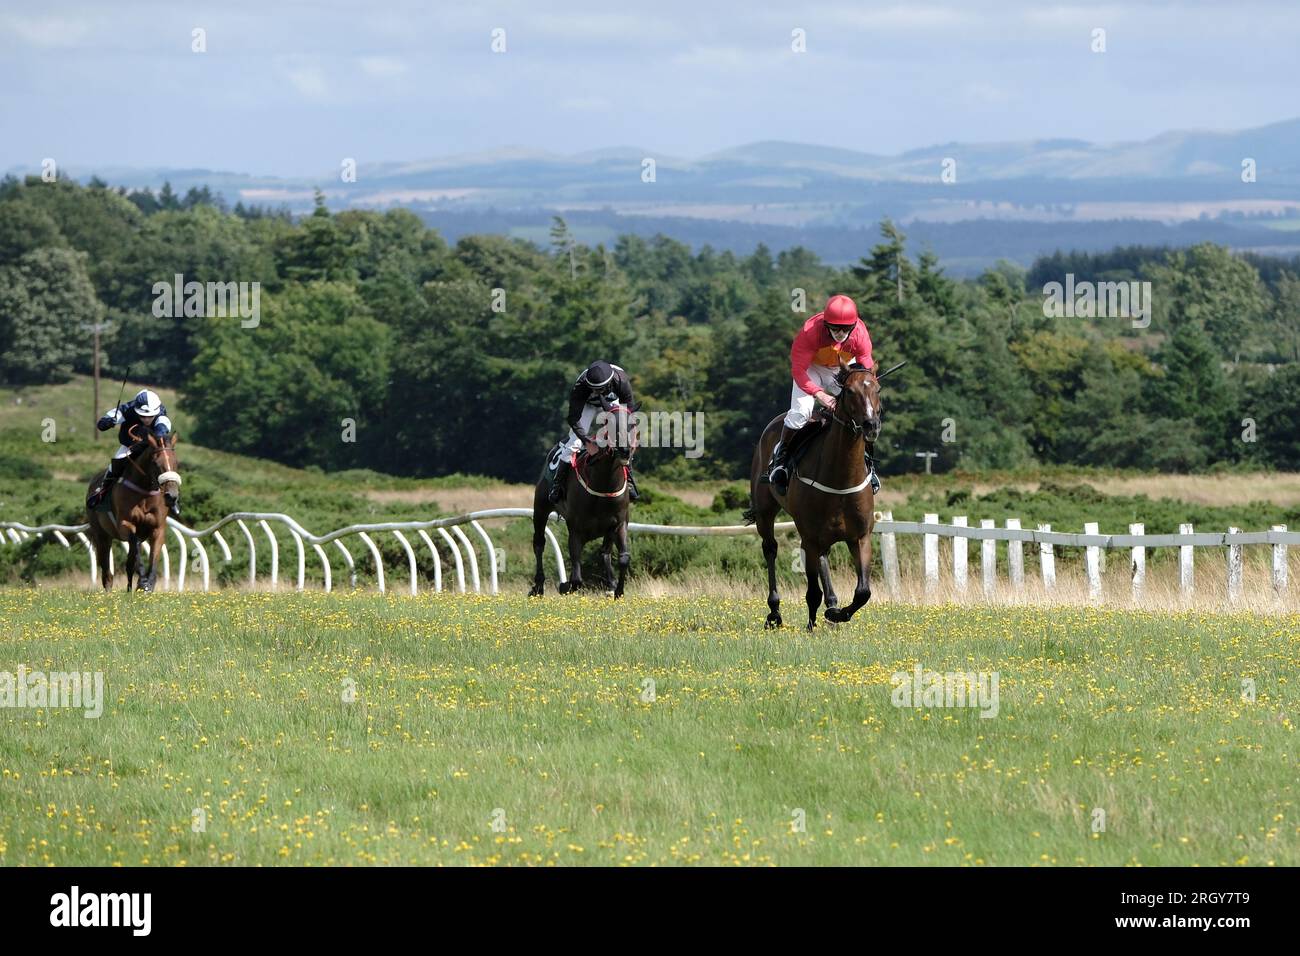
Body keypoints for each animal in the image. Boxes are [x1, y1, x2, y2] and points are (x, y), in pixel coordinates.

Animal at [86, 431, 183, 590]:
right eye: (156, 463)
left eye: (176, 462)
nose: (171, 496)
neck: (144, 494)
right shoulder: (126, 524)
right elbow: (136, 548)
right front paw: (143, 581)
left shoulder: (157, 528)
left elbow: (153, 557)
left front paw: (148, 583)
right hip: (102, 535)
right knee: (107, 570)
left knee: (129, 564)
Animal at [530, 403, 637, 598]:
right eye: (609, 424)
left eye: (633, 424)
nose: (625, 450)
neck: (604, 483)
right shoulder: (576, 528)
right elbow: (577, 572)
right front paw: (567, 586)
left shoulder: (619, 523)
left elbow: (624, 557)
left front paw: (618, 590)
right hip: (541, 509)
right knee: (539, 543)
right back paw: (538, 586)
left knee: (604, 552)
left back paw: (611, 583)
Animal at [754, 356, 883, 632]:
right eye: (850, 391)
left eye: (877, 389)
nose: (871, 425)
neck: (840, 479)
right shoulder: (809, 536)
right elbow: (813, 591)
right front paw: (813, 623)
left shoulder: (860, 536)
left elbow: (863, 592)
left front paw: (837, 614)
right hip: (765, 510)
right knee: (770, 548)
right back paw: (774, 612)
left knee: (824, 557)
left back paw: (832, 604)